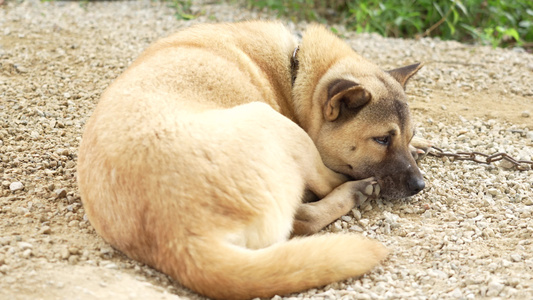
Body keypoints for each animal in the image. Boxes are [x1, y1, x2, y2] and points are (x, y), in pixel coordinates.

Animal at [77, 21, 424, 300]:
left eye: (408, 135)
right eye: (382, 140)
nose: (420, 185)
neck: (295, 70)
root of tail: (181, 240)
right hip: (271, 120)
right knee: (314, 207)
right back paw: (357, 191)